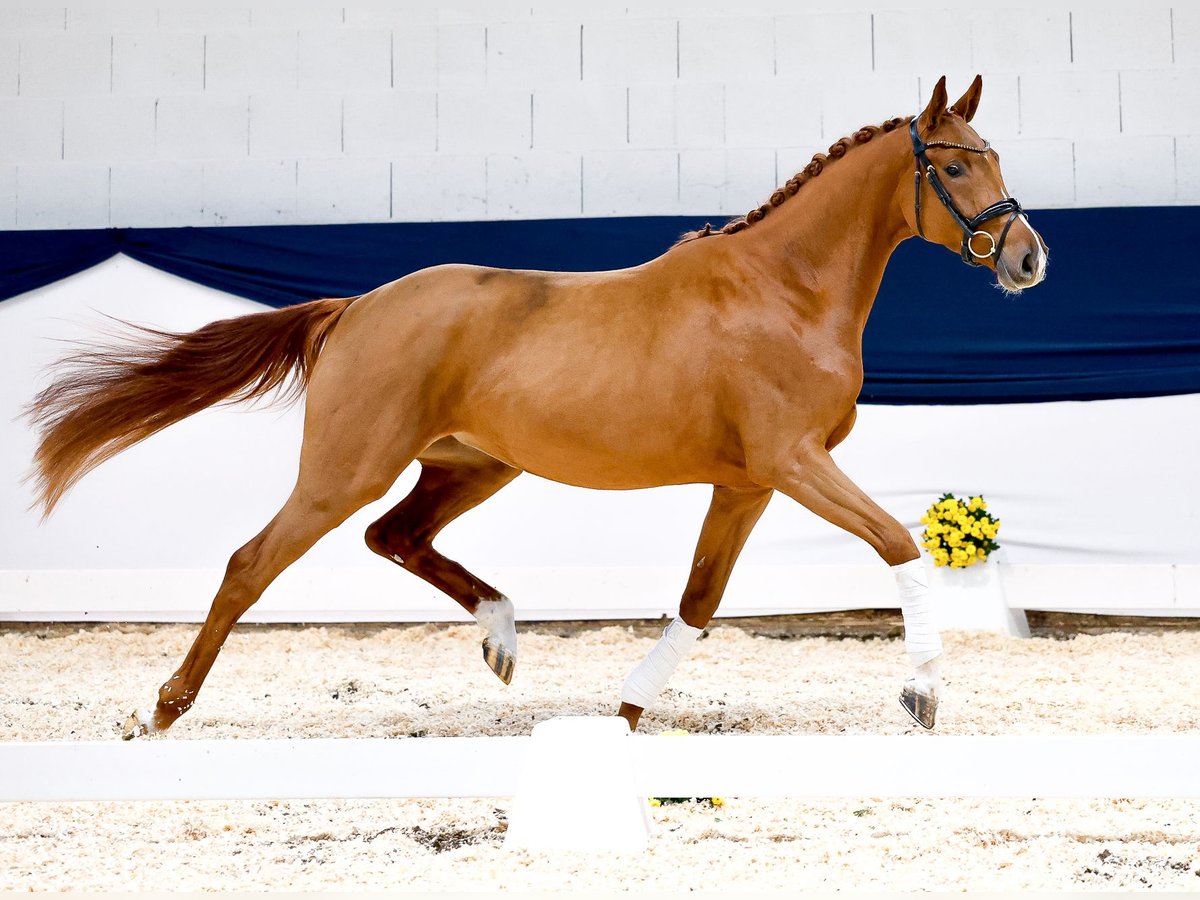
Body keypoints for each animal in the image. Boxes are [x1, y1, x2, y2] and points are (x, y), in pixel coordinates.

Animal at [23, 77, 1046, 739]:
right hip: (346, 470)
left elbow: (699, 600)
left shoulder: (749, 481)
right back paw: (161, 709)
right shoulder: (795, 462)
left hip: (472, 464)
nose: (1028, 257)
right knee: (251, 565)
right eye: (956, 168)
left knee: (395, 538)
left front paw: (627, 710)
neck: (783, 290)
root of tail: (356, 307)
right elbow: (900, 544)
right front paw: (922, 696)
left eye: (996, 157)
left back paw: (503, 635)